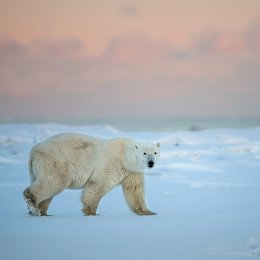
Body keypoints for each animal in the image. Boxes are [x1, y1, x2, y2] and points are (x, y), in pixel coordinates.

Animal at [22, 133, 160, 216]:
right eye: (144, 153)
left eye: (155, 152)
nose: (151, 163)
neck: (125, 155)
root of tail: (33, 151)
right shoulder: (111, 162)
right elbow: (97, 184)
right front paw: (91, 212)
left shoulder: (132, 171)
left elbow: (134, 190)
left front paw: (149, 212)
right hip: (56, 162)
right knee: (53, 182)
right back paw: (33, 204)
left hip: (37, 169)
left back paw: (42, 211)